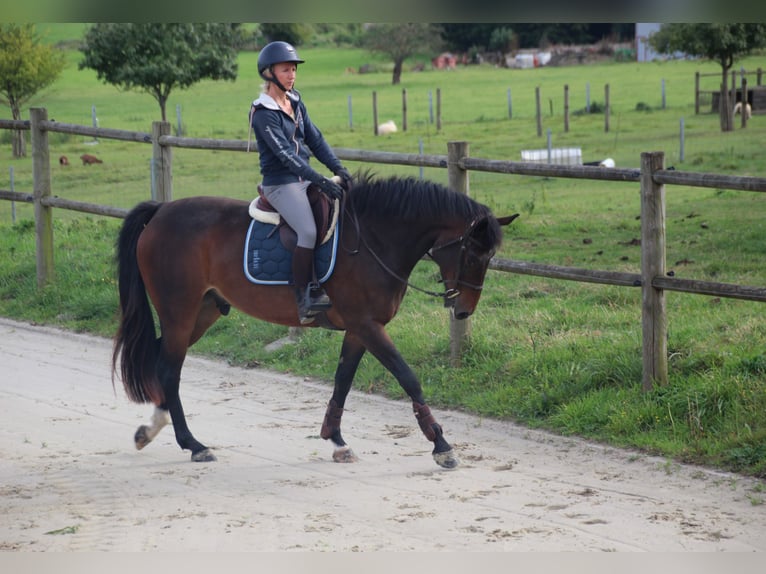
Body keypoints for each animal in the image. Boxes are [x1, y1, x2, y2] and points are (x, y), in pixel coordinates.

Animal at [112, 172, 518, 469]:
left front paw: (336, 441)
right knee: (168, 369)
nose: (463, 310)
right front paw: (441, 445)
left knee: (163, 363)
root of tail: (161, 211)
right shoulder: (368, 326)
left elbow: (343, 381)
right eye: (472, 255)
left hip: (203, 311)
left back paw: (152, 430)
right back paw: (193, 445)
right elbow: (408, 377)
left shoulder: (359, 329)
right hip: (179, 312)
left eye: (489, 257)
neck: (373, 238)